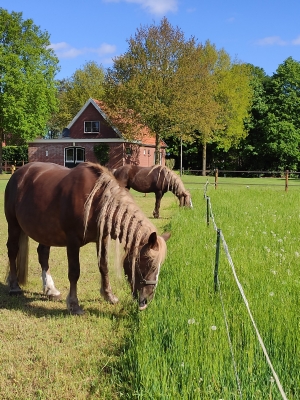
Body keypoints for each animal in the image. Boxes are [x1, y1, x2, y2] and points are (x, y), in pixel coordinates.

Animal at [4, 161, 170, 314]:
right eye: (149, 264)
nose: (146, 300)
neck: (96, 201)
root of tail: (19, 172)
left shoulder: (102, 238)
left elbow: (103, 266)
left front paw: (109, 295)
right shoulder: (72, 242)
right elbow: (74, 272)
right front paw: (74, 304)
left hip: (45, 232)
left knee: (43, 255)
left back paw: (50, 289)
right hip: (13, 224)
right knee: (12, 250)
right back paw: (14, 287)